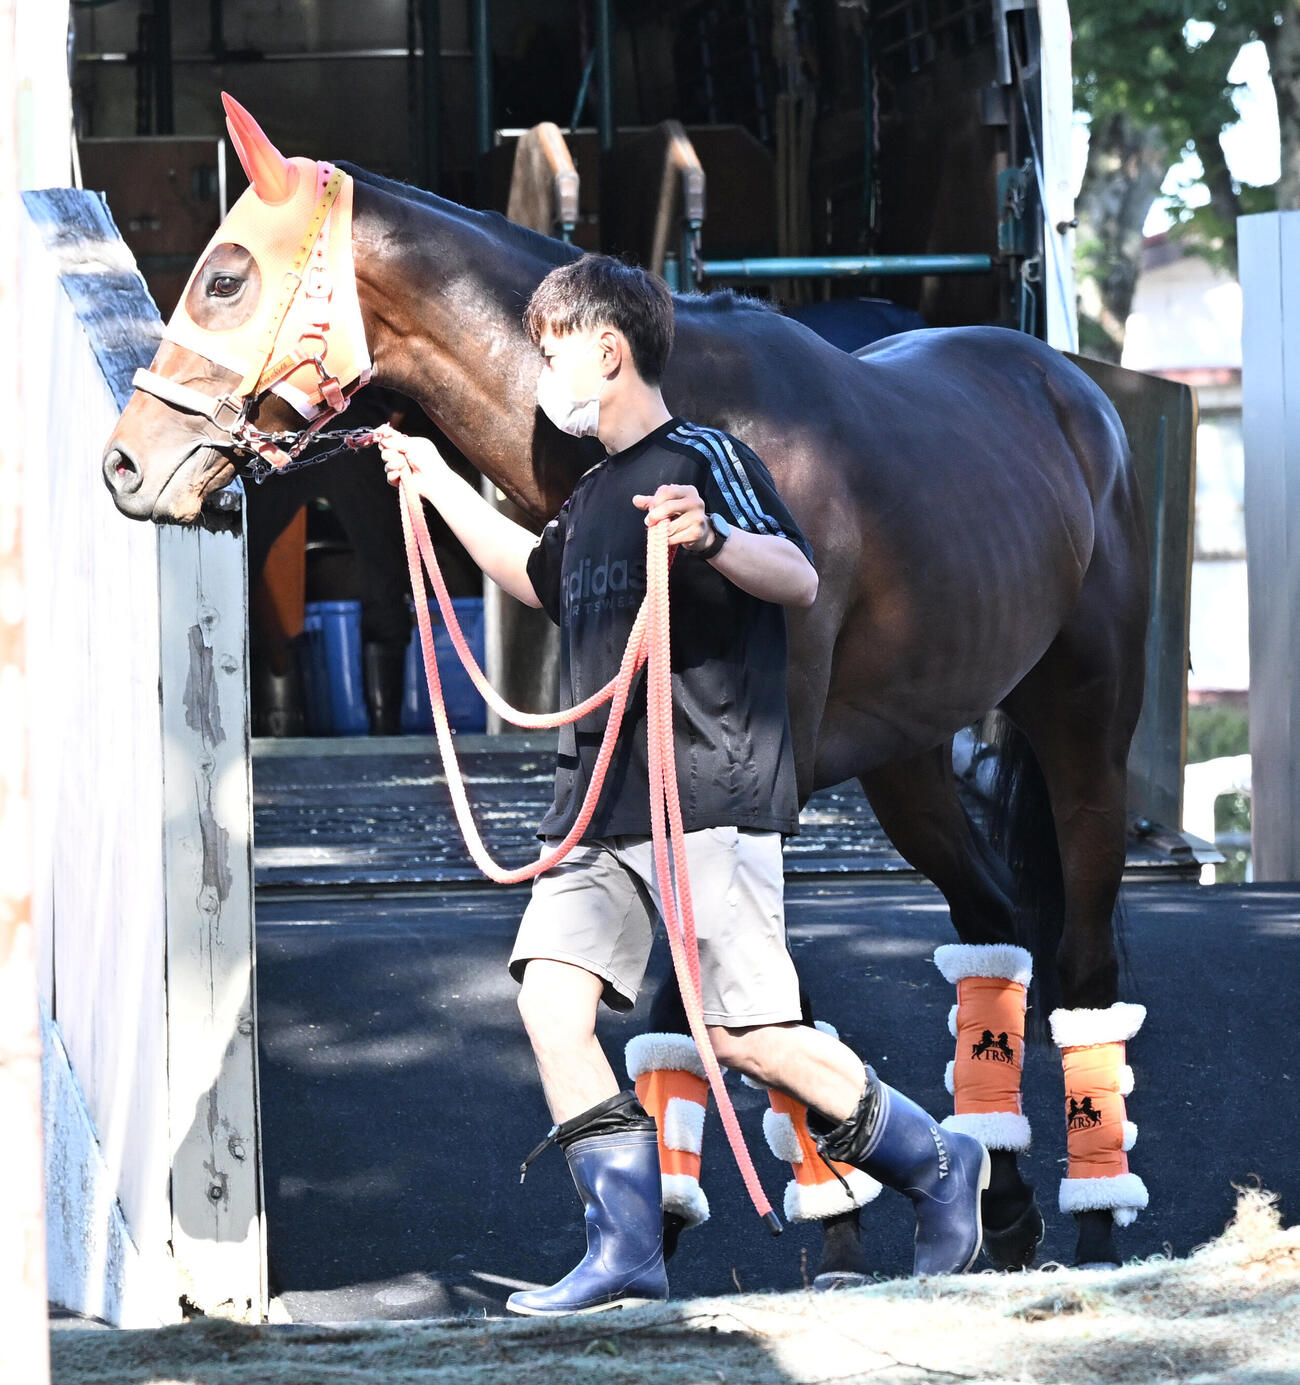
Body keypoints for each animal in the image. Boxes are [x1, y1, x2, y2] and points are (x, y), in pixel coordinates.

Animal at [103, 98, 1150, 1273]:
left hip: (1084, 716)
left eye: (226, 277)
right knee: (991, 921)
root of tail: (1070, 387)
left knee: (1085, 954)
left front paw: (771, 1221)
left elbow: (719, 1007)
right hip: (909, 756)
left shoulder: (752, 787)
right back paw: (1000, 1199)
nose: (126, 464)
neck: (678, 419)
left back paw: (1095, 1214)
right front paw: (781, 1218)